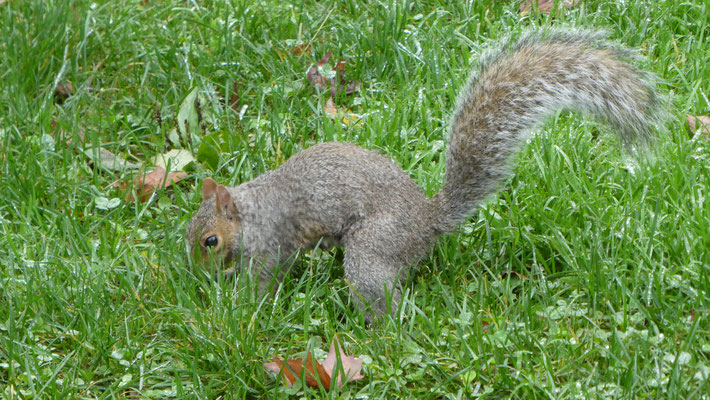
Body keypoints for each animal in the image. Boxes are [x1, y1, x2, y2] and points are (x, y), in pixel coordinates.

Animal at [185, 28, 660, 318]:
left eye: (211, 241)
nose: (197, 275)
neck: (249, 209)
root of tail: (428, 223)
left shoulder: (272, 245)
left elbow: (266, 279)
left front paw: (240, 306)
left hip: (373, 248)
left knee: (383, 297)